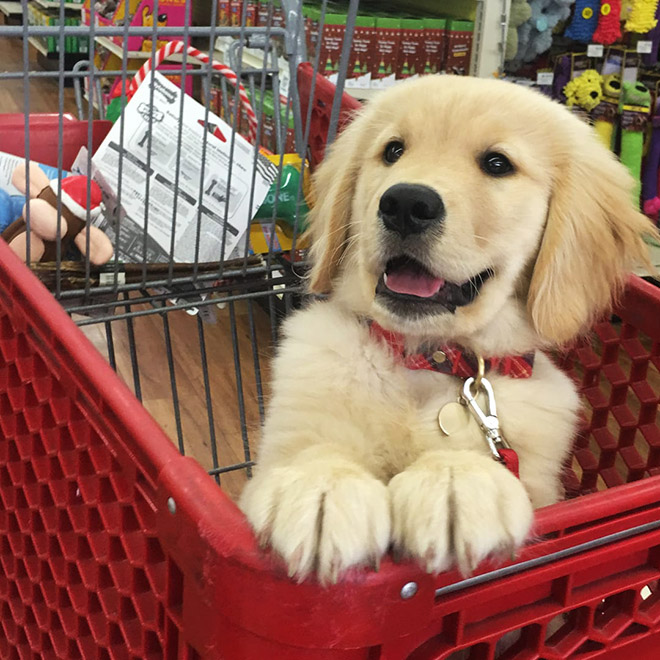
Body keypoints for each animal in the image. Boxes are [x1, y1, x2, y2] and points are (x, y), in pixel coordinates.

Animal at [240, 75, 656, 584]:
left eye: (497, 164)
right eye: (393, 151)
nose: (404, 203)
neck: (431, 359)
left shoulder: (542, 486)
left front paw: (456, 480)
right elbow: (311, 451)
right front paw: (322, 487)